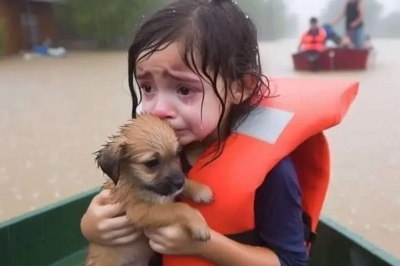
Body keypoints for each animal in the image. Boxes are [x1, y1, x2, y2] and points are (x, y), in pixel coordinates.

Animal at [85, 114, 214, 266]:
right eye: (152, 163)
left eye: (177, 154)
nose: (179, 183)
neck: (137, 183)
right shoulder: (139, 211)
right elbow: (178, 207)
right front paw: (199, 224)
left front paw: (200, 190)